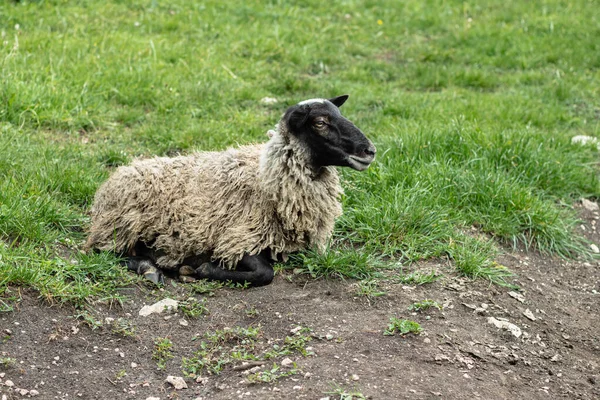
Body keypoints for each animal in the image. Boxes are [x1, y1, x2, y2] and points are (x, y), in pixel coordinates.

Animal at [85, 95, 376, 286]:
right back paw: (149, 269)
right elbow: (264, 273)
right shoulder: (237, 238)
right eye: (320, 122)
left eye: (339, 114)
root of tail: (114, 178)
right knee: (103, 253)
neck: (265, 181)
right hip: (120, 227)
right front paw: (199, 269)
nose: (370, 150)